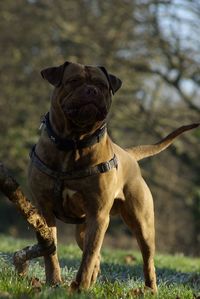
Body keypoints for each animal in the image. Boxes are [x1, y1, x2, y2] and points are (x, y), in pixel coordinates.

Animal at [27, 61, 198, 292]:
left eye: (101, 84)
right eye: (74, 81)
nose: (92, 90)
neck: (74, 142)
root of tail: (130, 154)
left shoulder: (98, 215)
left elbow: (89, 255)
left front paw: (80, 288)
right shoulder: (45, 211)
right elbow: (51, 252)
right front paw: (54, 283)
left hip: (142, 225)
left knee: (147, 260)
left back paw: (150, 289)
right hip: (83, 229)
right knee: (97, 256)